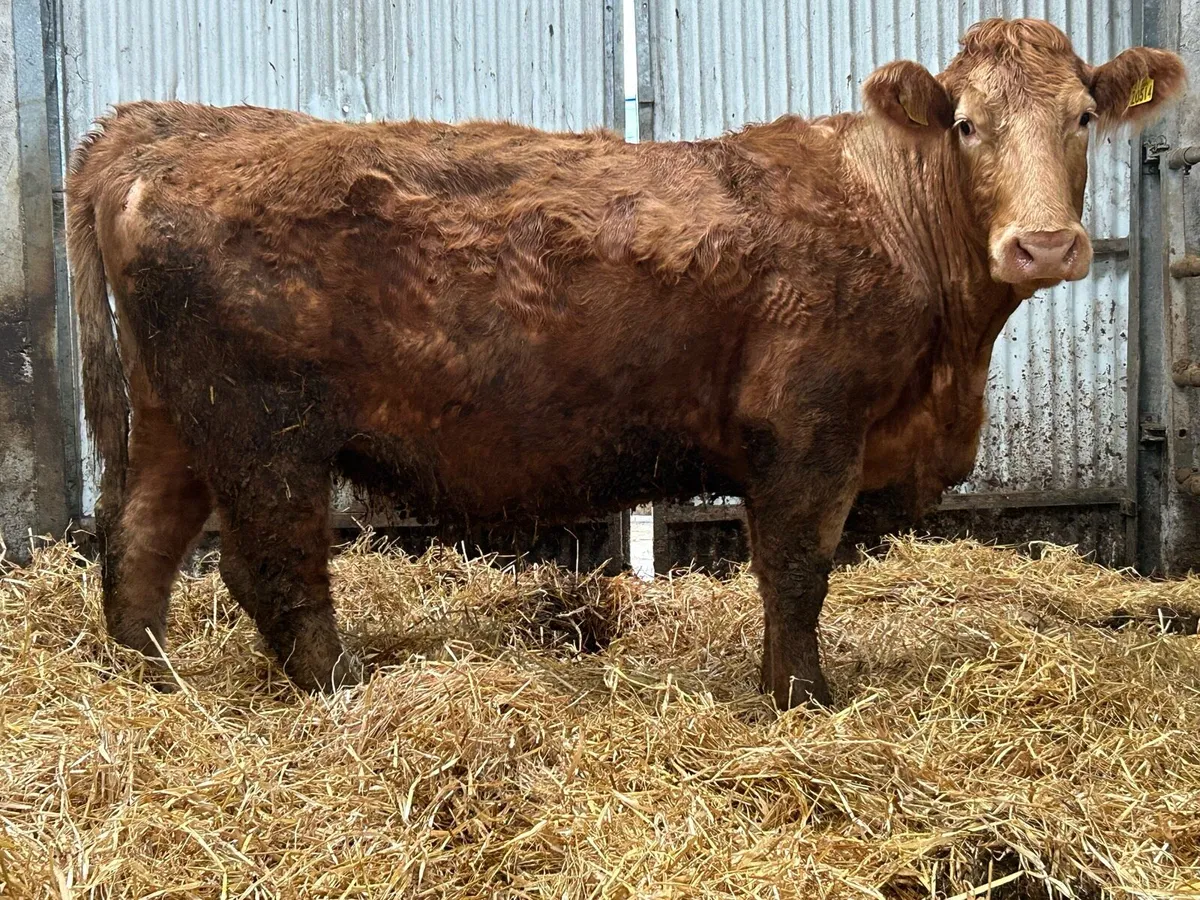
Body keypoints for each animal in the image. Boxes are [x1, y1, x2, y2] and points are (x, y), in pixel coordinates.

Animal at [66, 19, 1184, 709]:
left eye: (1084, 117)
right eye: (965, 124)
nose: (1044, 244)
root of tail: (161, 128)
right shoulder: (808, 429)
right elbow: (796, 571)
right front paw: (801, 699)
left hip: (175, 419)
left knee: (140, 543)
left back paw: (153, 682)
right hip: (263, 429)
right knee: (271, 568)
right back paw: (343, 688)